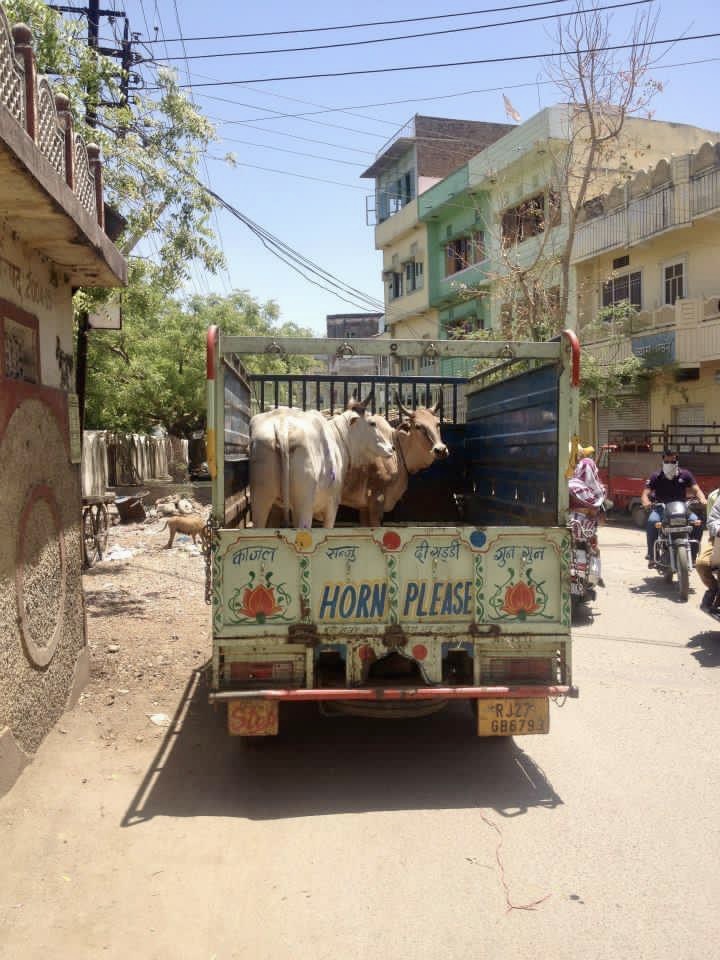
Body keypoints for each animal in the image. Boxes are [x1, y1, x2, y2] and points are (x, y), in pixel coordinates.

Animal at [340, 394, 448, 524]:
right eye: (418, 426)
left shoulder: (363, 507)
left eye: (438, 424)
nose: (440, 450)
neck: (396, 450)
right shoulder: (376, 500)